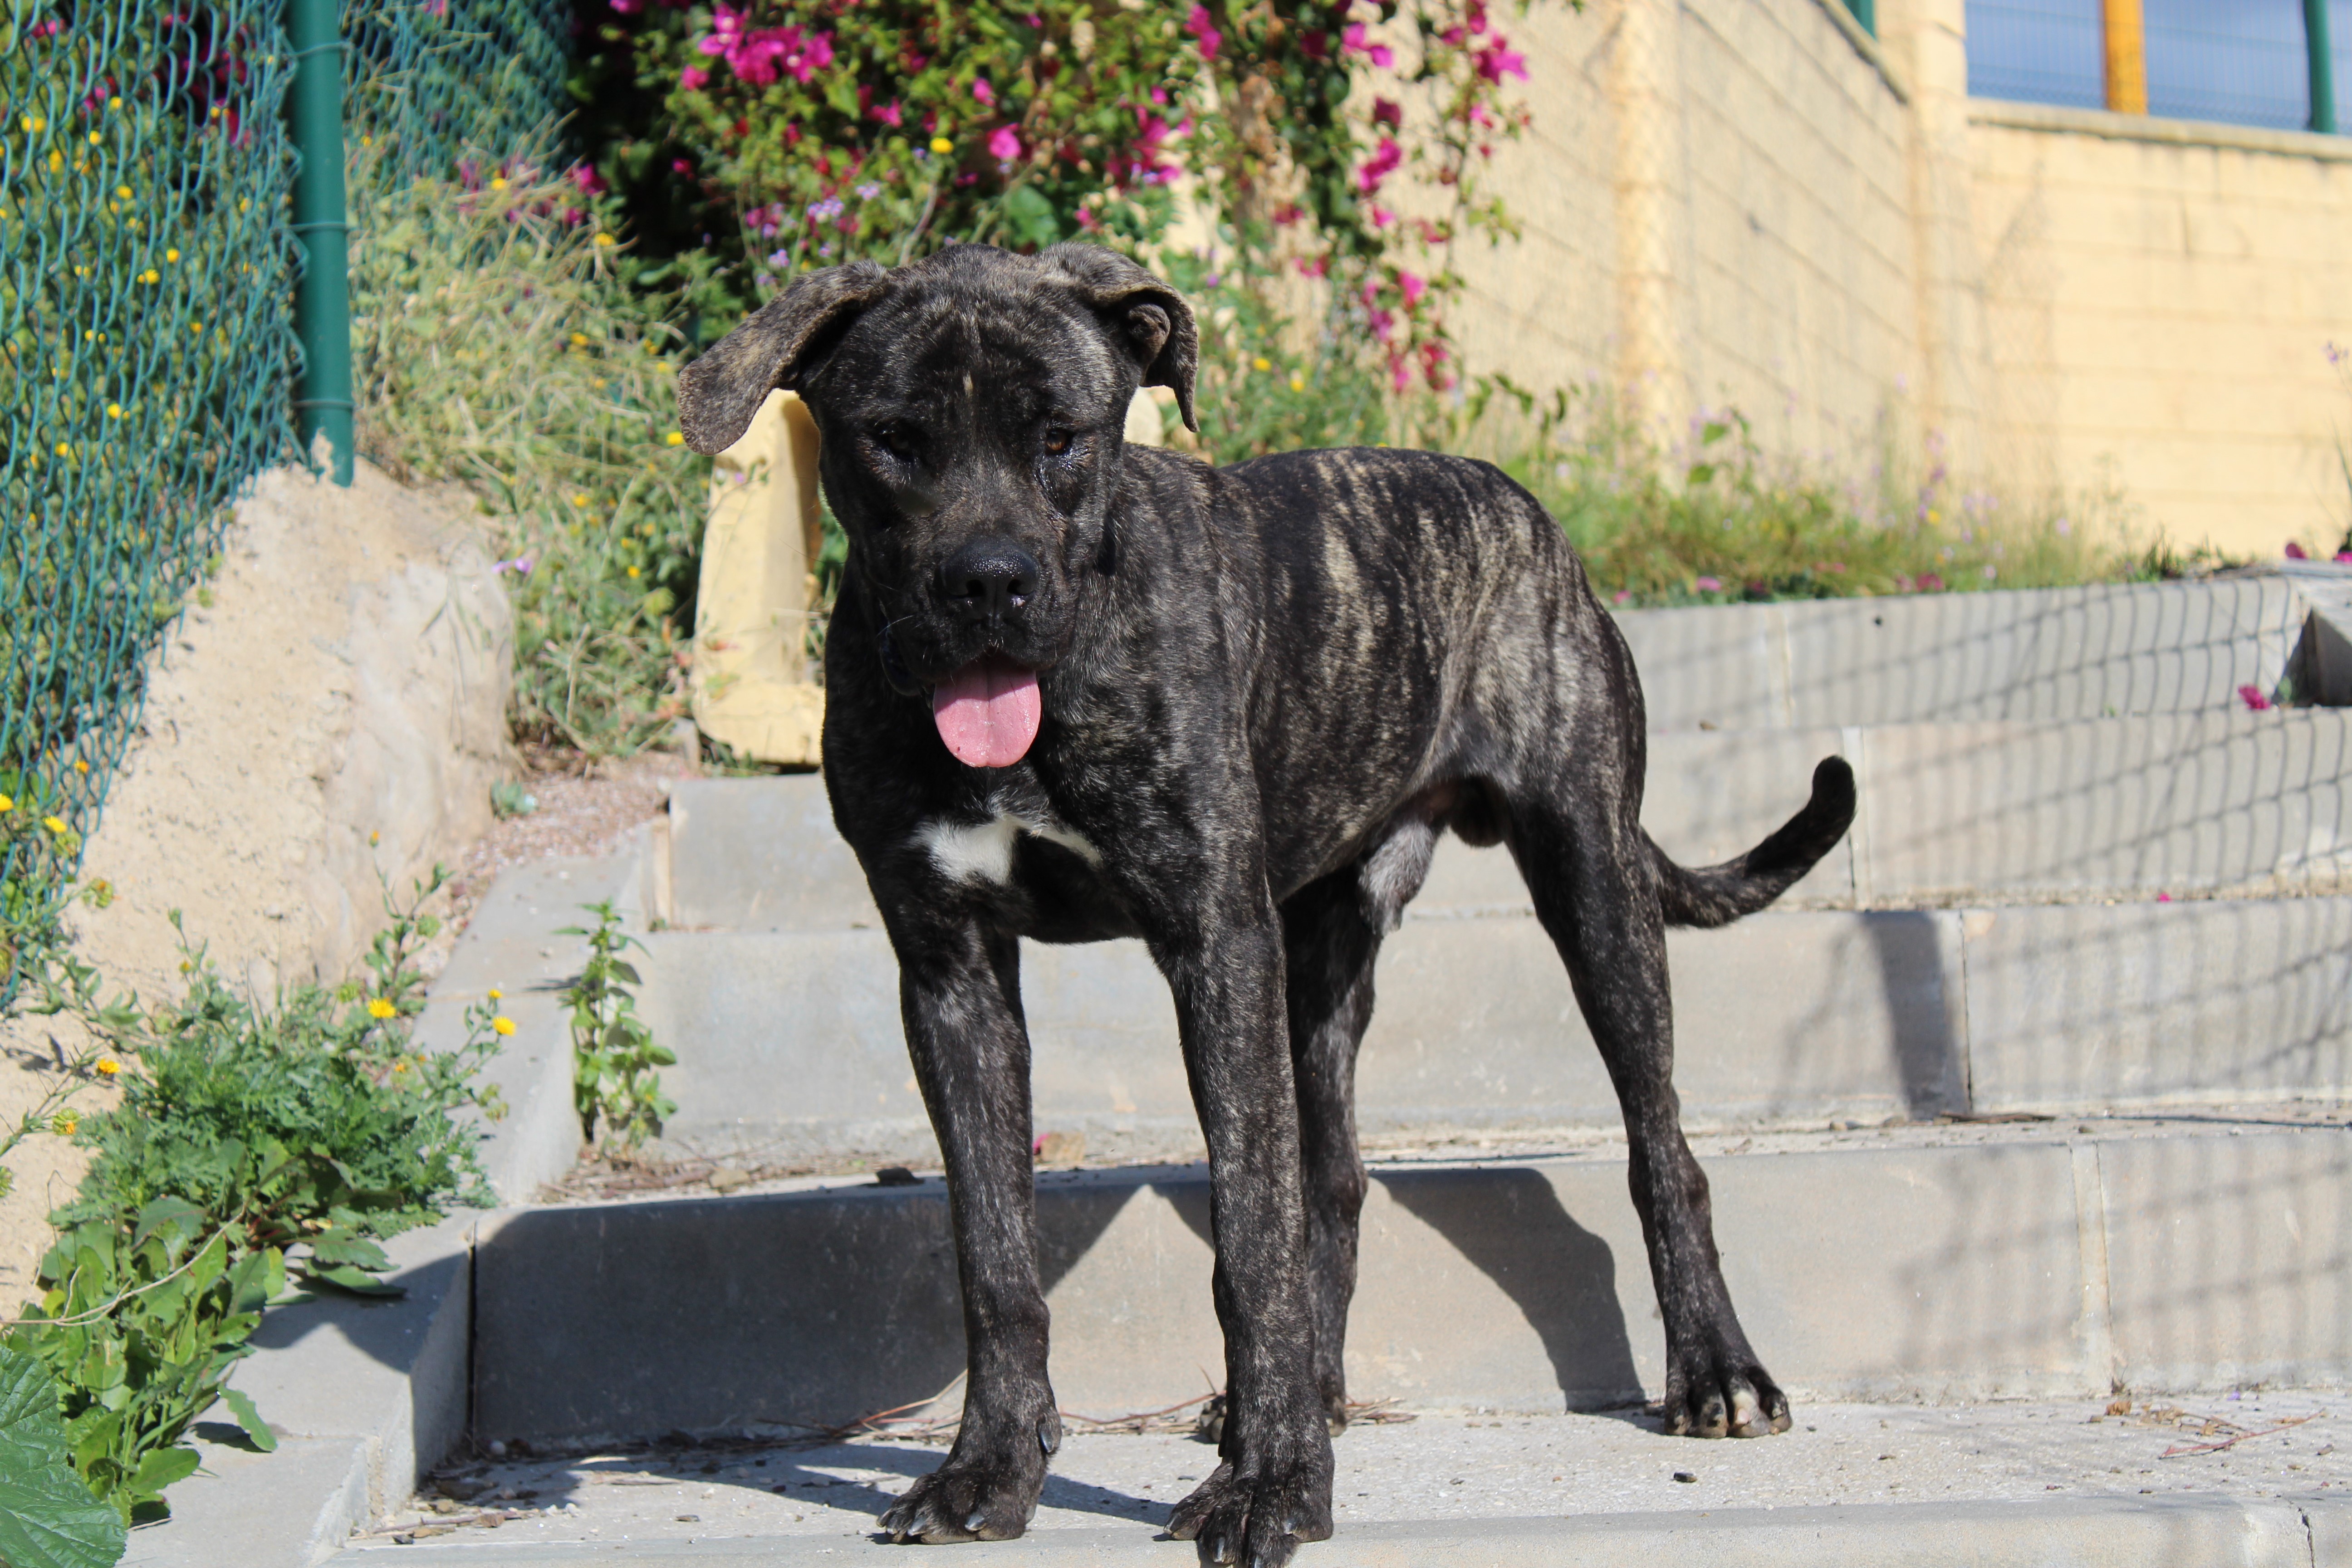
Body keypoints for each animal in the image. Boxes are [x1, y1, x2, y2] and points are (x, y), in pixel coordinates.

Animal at [682, 245, 1853, 1568]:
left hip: (1592, 886)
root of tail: (1521, 507)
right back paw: (1308, 1393)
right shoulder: (950, 972)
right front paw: (992, 1466)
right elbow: (995, 1248)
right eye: (893, 440)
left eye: (1062, 438)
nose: (988, 582)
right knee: (1331, 1180)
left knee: (1663, 1149)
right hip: (1322, 955)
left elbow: (1248, 1228)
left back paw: (1715, 1371)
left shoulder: (1214, 943)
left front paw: (1272, 1486)